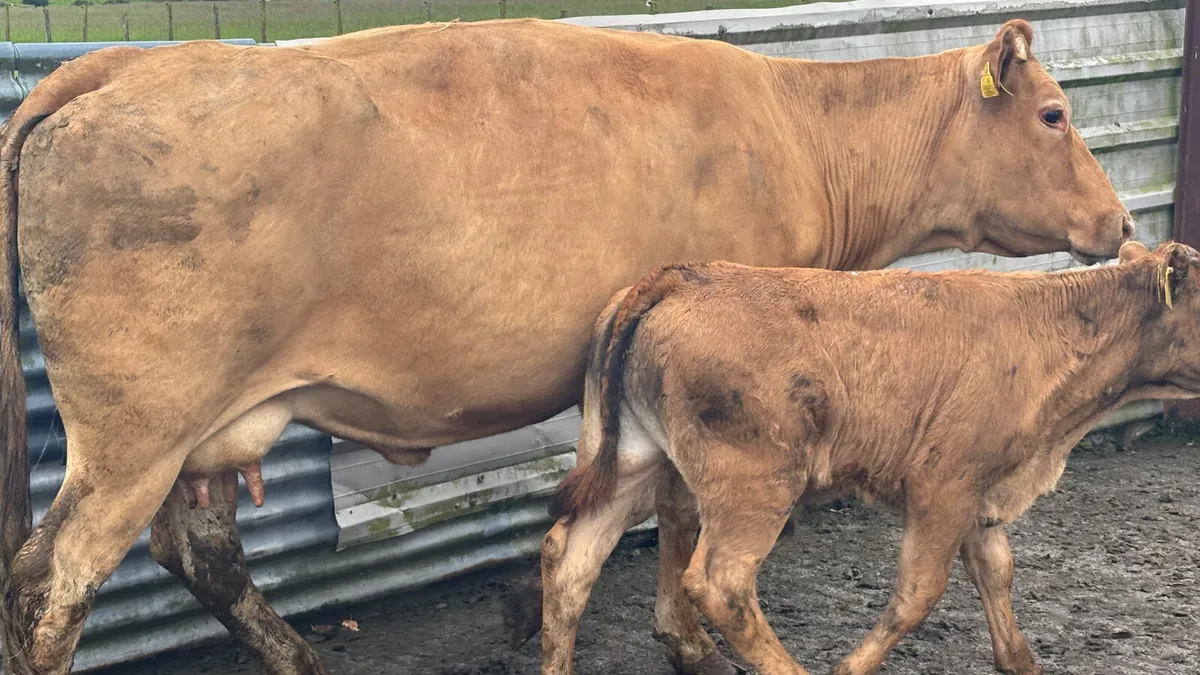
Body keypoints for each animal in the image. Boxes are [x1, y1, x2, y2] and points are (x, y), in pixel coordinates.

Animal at [0, 16, 1130, 675]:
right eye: (1053, 113)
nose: (1121, 222)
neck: (801, 129)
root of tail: (122, 64)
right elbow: (684, 516)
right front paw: (688, 643)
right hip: (136, 432)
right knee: (50, 586)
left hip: (202, 430)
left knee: (198, 551)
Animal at [538, 240, 1196, 675]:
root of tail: (681, 276)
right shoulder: (943, 483)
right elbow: (918, 593)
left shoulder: (982, 491)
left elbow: (997, 573)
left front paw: (1020, 662)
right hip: (756, 483)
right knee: (721, 584)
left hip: (632, 460)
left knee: (569, 559)